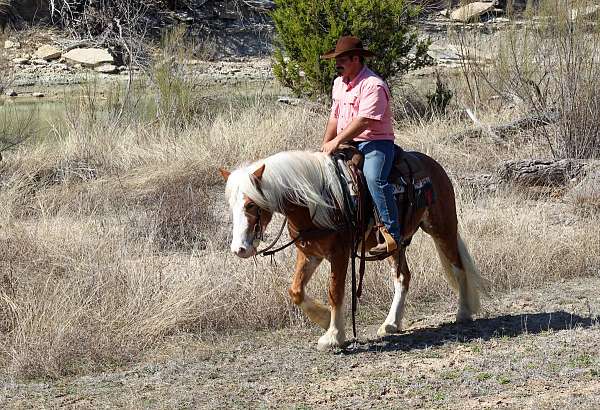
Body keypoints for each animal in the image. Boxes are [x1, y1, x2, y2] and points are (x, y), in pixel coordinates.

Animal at [220, 149, 488, 350]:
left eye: (251, 204)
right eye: (231, 205)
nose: (239, 249)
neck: (316, 201)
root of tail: (433, 165)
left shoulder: (339, 253)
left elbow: (335, 291)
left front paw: (333, 336)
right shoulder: (309, 253)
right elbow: (295, 290)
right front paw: (324, 319)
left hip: (442, 228)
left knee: (458, 267)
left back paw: (463, 311)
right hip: (396, 245)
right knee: (403, 277)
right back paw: (391, 324)